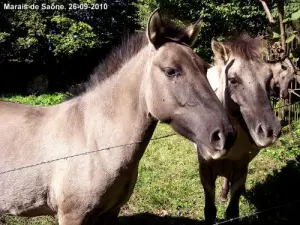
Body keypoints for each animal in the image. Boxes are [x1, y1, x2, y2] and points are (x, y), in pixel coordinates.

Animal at [0, 9, 237, 225]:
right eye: (171, 71)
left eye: (204, 68)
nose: (225, 135)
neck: (95, 143)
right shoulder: (72, 215)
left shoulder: (110, 213)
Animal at [196, 35, 282, 223]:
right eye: (233, 80)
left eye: (268, 78)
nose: (270, 131)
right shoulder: (205, 170)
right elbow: (210, 211)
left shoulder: (241, 167)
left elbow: (233, 212)